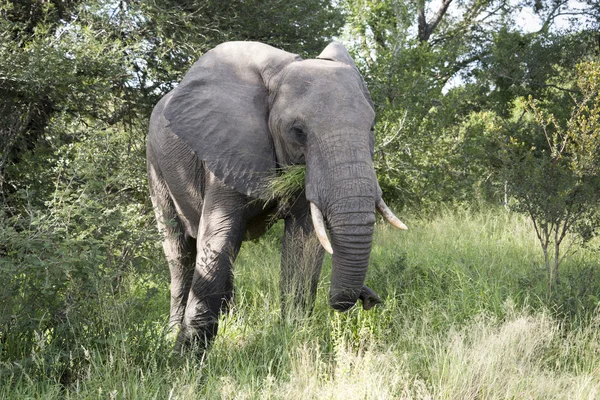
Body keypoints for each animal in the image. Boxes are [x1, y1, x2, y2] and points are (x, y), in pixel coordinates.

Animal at [147, 40, 406, 350]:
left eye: (371, 127)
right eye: (298, 131)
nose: (368, 299)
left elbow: (304, 243)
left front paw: (295, 335)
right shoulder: (226, 150)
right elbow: (219, 237)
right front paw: (186, 353)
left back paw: (231, 321)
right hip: (155, 165)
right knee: (180, 253)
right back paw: (172, 332)